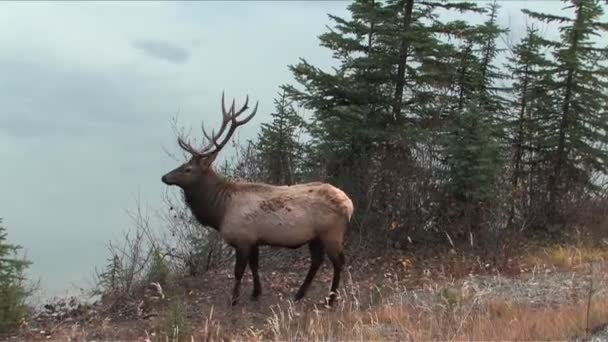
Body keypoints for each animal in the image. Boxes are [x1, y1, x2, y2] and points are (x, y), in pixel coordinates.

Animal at [160, 92, 356, 306]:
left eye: (188, 169)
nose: (164, 177)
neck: (220, 212)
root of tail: (350, 205)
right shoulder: (254, 239)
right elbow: (254, 266)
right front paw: (256, 292)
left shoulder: (243, 238)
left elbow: (238, 271)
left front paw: (234, 299)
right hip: (315, 236)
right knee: (317, 260)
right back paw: (299, 294)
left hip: (332, 232)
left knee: (338, 261)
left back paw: (331, 298)